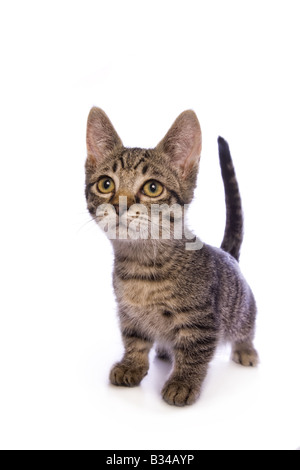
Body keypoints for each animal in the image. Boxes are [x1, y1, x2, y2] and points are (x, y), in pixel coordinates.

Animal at [84, 105, 258, 404]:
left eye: (152, 188)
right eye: (106, 184)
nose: (119, 205)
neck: (142, 266)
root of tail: (228, 255)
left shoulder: (200, 321)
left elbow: (194, 353)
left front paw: (183, 382)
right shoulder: (128, 313)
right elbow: (134, 339)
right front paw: (132, 365)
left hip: (242, 308)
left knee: (246, 328)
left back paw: (245, 349)